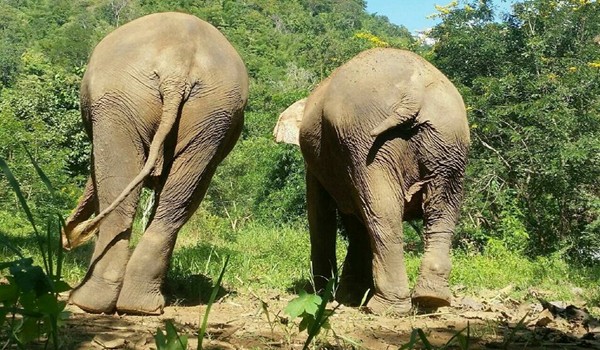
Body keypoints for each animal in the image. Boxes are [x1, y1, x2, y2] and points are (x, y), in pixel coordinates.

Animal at [61, 12, 248, 316]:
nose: (68, 239)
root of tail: (177, 70)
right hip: (212, 116)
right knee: (177, 201)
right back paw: (142, 306)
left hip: (118, 104)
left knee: (118, 191)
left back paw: (86, 302)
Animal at [274, 47, 472, 314]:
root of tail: (415, 89)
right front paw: (349, 294)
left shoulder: (319, 164)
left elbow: (321, 213)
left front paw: (324, 294)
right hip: (447, 138)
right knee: (440, 211)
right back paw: (431, 299)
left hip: (367, 141)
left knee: (381, 212)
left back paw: (383, 307)